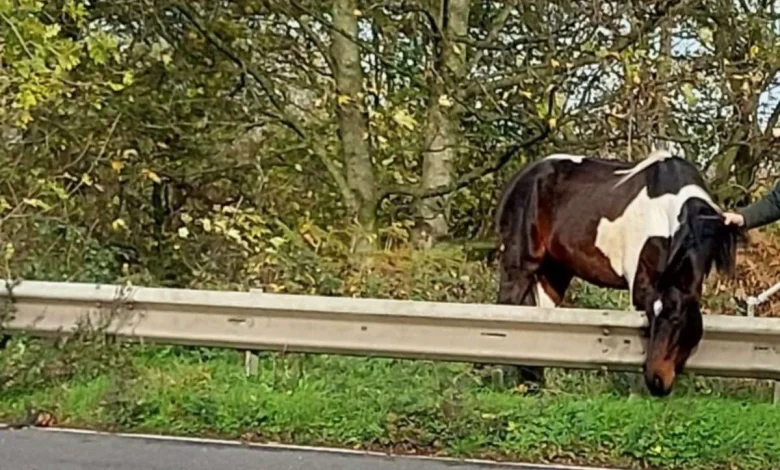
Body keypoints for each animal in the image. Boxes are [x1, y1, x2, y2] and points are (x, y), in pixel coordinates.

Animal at [495, 149, 744, 397]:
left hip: (553, 274)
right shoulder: (640, 286)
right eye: (654, 317)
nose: (657, 381)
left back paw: (535, 384)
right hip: (521, 266)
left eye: (676, 319)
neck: (667, 211)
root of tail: (520, 179)